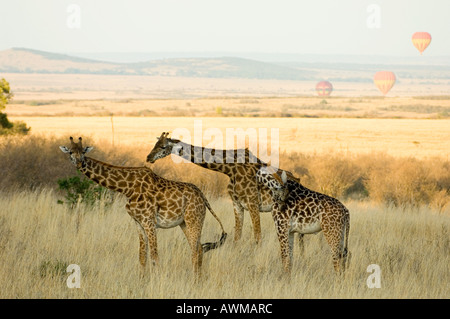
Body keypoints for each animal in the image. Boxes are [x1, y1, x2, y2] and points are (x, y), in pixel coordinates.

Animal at [59, 136, 227, 278]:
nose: (79, 163)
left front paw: (156, 282)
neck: (127, 188)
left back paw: (195, 280)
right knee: (198, 248)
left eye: (83, 152)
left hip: (194, 220)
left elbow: (154, 256)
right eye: (71, 152)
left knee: (197, 249)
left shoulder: (149, 221)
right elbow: (142, 256)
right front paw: (142, 281)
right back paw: (197, 279)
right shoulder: (138, 223)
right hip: (184, 223)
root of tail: (203, 196)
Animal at [146, 132, 298, 245]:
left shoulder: (253, 203)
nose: (149, 157)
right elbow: (237, 238)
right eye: (155, 144)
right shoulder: (237, 204)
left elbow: (257, 238)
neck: (230, 169)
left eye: (163, 147)